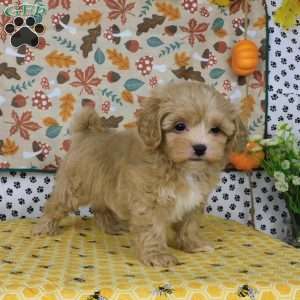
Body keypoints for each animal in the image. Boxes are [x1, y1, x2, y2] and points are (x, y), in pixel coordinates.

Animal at [33, 81, 244, 266]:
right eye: (179, 126)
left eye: (215, 130)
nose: (200, 148)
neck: (179, 166)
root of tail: (87, 134)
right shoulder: (149, 201)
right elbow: (153, 229)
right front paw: (158, 256)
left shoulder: (193, 203)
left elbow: (189, 225)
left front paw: (194, 244)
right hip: (74, 187)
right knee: (55, 205)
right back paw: (45, 228)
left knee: (101, 207)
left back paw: (111, 226)